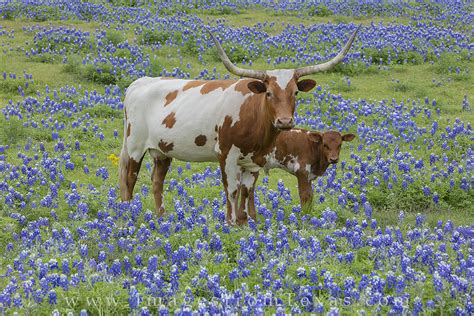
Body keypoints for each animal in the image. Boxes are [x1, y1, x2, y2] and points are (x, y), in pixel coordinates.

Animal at [119, 27, 360, 225]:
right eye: (268, 93)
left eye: (296, 93)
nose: (285, 122)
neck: (254, 116)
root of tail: (139, 82)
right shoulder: (226, 155)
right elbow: (232, 190)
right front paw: (231, 223)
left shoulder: (254, 161)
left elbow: (247, 190)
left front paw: (245, 222)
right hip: (135, 146)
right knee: (130, 178)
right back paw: (128, 213)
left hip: (162, 151)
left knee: (157, 181)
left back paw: (161, 216)